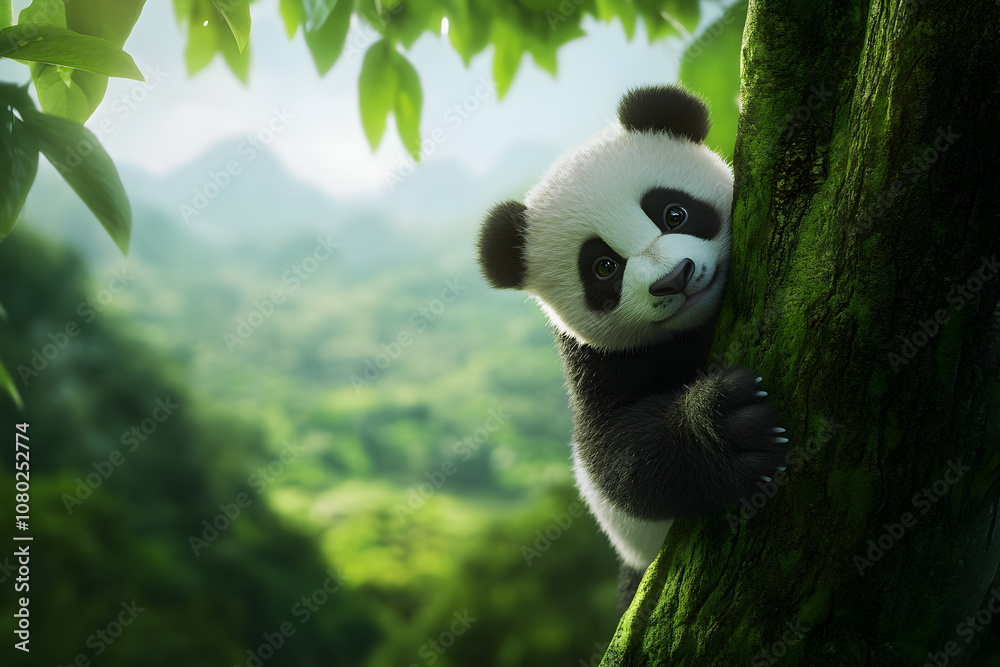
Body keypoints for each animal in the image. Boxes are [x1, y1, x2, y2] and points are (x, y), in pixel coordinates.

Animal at [476, 85, 787, 609]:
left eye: (673, 213)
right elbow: (613, 458)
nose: (674, 279)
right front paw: (727, 427)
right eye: (604, 267)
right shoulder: (597, 363)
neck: (692, 330)